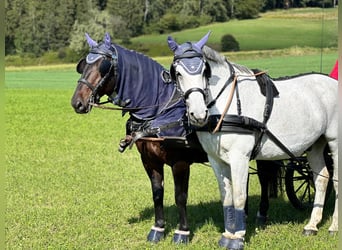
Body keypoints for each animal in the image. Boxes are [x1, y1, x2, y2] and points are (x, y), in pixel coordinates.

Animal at [71, 32, 280, 244]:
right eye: (83, 65)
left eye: (103, 66)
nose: (77, 102)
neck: (157, 112)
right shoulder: (149, 161)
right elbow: (157, 194)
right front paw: (158, 228)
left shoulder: (180, 162)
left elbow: (180, 196)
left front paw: (182, 232)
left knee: (264, 177)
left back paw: (261, 215)